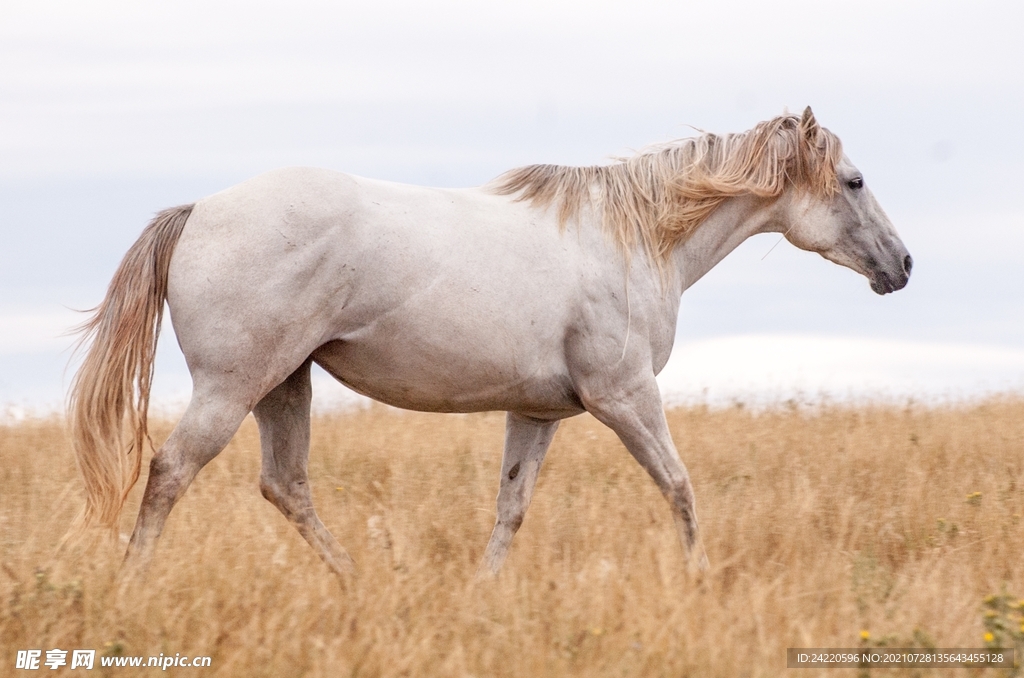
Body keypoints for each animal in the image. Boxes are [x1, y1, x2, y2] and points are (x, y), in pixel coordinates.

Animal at [68, 107, 912, 578]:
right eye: (855, 181)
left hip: (284, 385)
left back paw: (361, 584)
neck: (636, 238)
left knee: (287, 485)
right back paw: (132, 586)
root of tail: (198, 210)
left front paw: (485, 590)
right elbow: (680, 487)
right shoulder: (625, 396)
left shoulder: (537, 414)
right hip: (233, 388)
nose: (902, 266)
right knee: (171, 471)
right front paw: (702, 580)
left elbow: (511, 508)